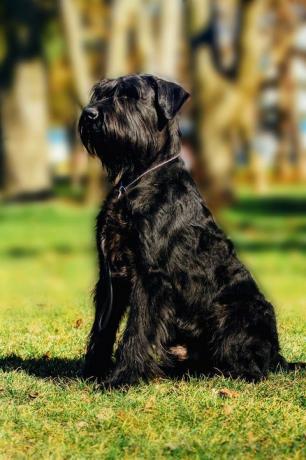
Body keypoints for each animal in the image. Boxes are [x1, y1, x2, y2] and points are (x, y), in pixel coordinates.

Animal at [79, 74, 302, 384]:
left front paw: (123, 377)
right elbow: (103, 328)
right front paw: (92, 370)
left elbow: (137, 329)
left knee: (253, 366)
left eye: (129, 96)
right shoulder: (110, 274)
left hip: (239, 313)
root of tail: (277, 356)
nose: (89, 114)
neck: (136, 179)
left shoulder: (150, 277)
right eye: (100, 93)